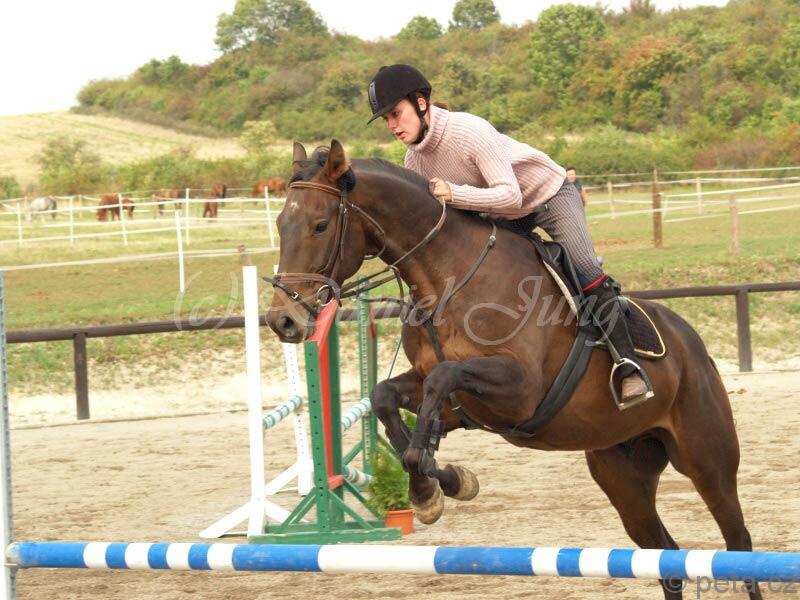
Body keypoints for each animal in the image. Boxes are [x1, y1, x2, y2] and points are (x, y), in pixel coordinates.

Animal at [265, 141, 763, 600]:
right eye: (280, 225)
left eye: (321, 225)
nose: (282, 320)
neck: (447, 279)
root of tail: (693, 344)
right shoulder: (449, 397)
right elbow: (388, 397)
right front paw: (440, 486)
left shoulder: (519, 390)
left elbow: (442, 383)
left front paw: (433, 485)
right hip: (623, 476)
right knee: (666, 556)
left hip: (708, 461)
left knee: (738, 545)